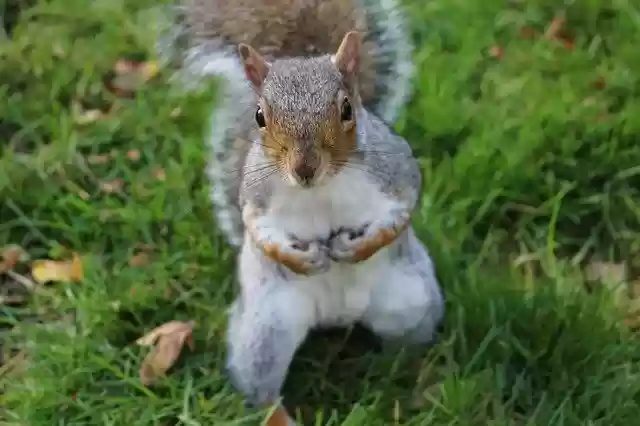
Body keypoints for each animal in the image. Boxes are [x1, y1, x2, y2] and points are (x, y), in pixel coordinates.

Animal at [157, 1, 445, 425]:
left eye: (346, 109)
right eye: (260, 116)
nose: (304, 168)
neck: (320, 188)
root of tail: (334, 317)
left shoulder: (397, 173)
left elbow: (399, 214)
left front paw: (356, 247)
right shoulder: (254, 198)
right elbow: (259, 230)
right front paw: (301, 258)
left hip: (411, 302)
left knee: (407, 348)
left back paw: (418, 381)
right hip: (266, 330)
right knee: (259, 385)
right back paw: (278, 414)